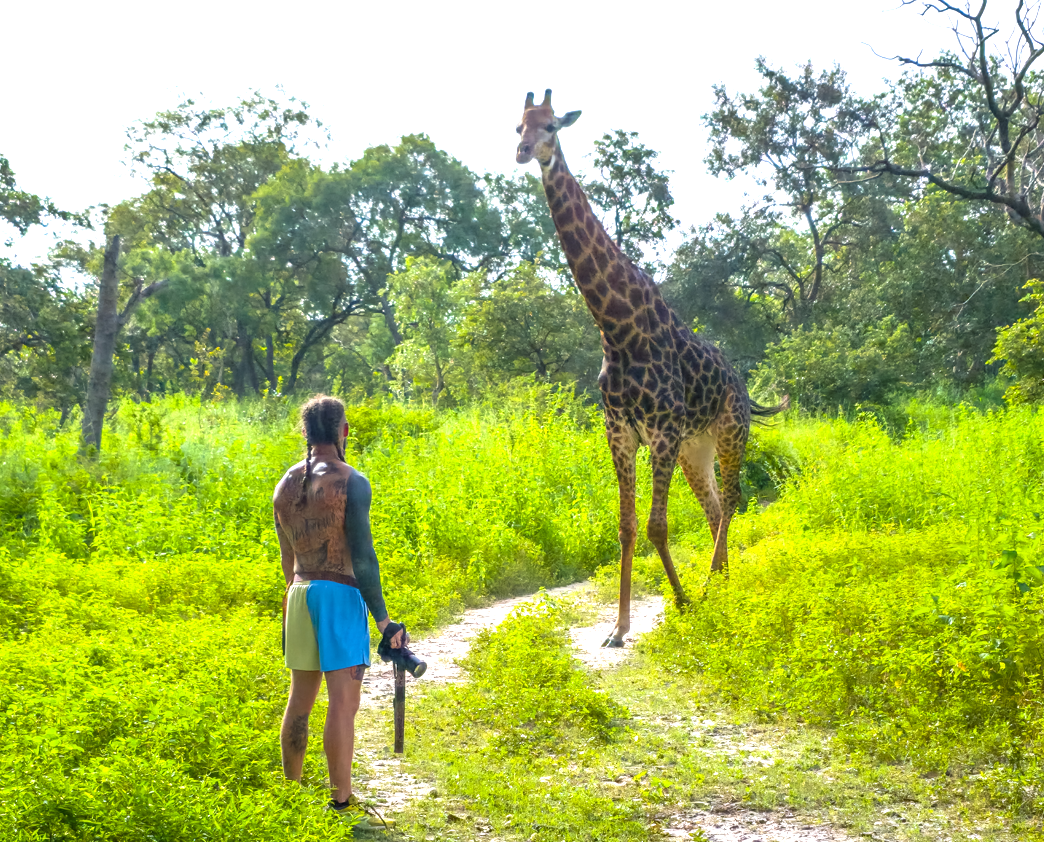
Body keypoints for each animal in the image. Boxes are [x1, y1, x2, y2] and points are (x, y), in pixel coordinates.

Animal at [515, 90, 785, 647]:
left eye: (552, 126)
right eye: (516, 127)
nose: (526, 152)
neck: (616, 326)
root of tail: (742, 385)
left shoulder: (659, 429)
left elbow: (658, 526)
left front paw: (681, 603)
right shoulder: (619, 430)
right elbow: (627, 526)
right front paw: (618, 629)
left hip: (729, 432)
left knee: (734, 498)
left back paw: (710, 587)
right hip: (694, 448)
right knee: (714, 506)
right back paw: (720, 583)